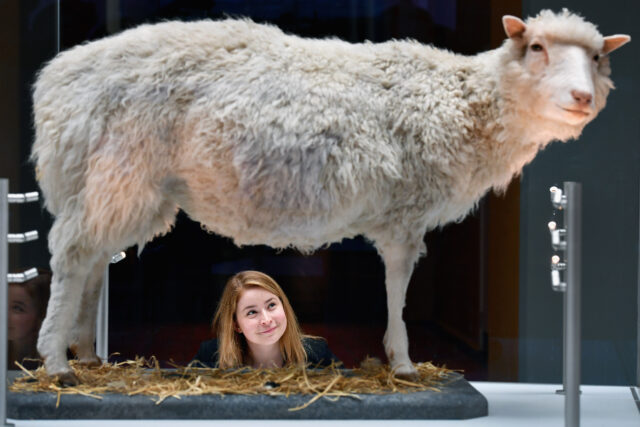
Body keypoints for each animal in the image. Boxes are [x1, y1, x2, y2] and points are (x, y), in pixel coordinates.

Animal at [31, 7, 632, 384]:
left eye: (598, 58)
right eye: (537, 47)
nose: (581, 97)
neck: (463, 102)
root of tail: (56, 79)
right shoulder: (404, 210)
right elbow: (397, 284)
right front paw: (403, 362)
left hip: (113, 184)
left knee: (92, 262)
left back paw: (87, 355)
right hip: (121, 170)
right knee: (73, 255)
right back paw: (56, 362)